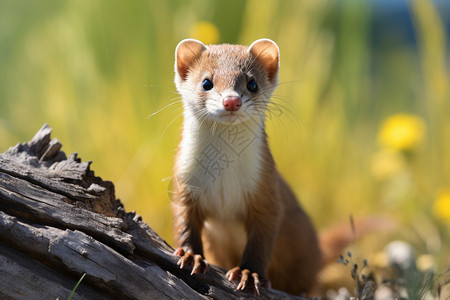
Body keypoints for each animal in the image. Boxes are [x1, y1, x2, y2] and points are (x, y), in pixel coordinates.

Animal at [172, 38, 324, 296]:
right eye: (206, 82)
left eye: (252, 83)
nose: (232, 100)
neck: (223, 173)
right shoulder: (185, 181)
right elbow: (185, 223)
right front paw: (192, 256)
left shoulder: (266, 189)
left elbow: (261, 240)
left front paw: (249, 274)